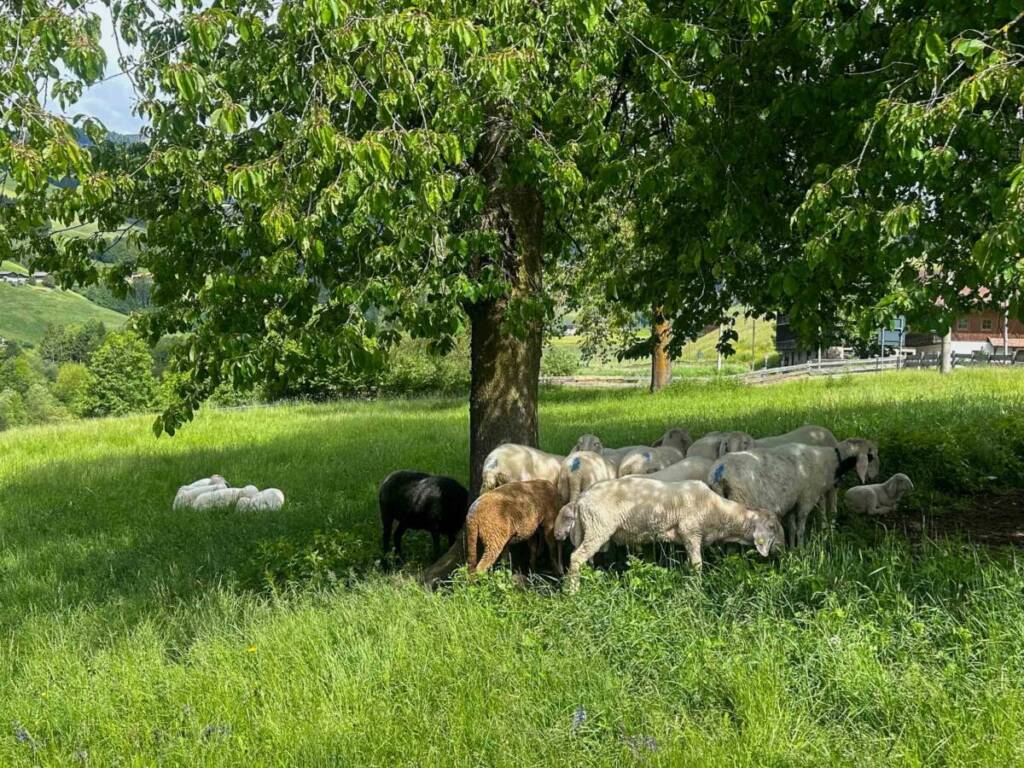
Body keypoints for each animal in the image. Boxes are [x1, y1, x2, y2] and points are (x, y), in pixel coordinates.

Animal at [554, 477, 784, 591]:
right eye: (772, 527)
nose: (785, 548)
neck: (716, 510)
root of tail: (581, 499)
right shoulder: (690, 531)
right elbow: (697, 565)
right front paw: (696, 589)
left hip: (589, 529)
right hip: (598, 526)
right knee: (576, 558)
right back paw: (573, 592)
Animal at [708, 438, 879, 548]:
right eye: (871, 457)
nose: (873, 477)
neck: (831, 461)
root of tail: (719, 474)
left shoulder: (792, 501)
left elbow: (792, 527)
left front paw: (792, 548)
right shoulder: (806, 499)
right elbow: (800, 529)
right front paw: (802, 550)